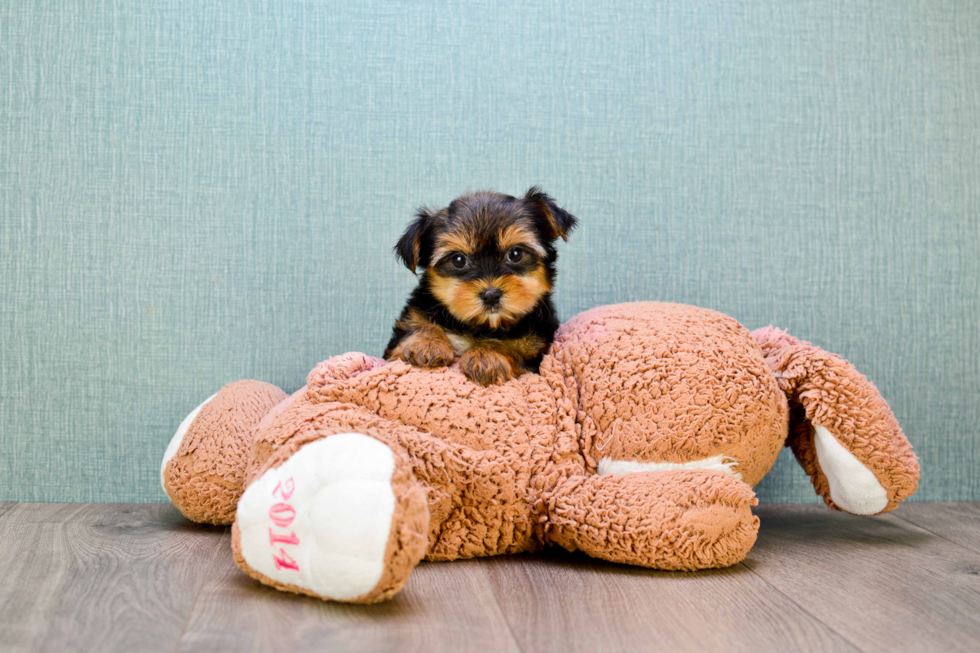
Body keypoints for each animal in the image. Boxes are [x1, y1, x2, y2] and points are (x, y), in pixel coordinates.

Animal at [386, 186, 580, 384]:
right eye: (458, 260)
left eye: (516, 254)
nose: (491, 295)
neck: (481, 326)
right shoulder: (404, 330)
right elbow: (416, 328)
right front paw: (427, 342)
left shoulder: (534, 349)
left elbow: (510, 348)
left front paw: (487, 354)